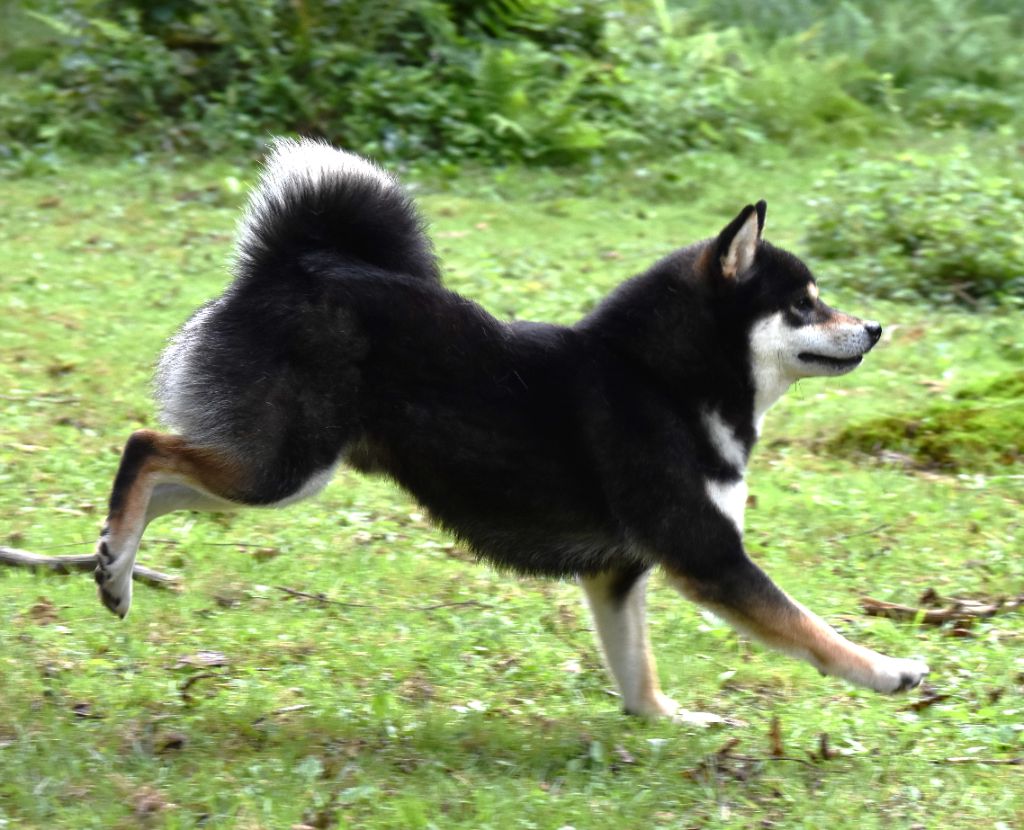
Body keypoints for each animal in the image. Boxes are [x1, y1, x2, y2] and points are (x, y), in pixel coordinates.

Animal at [94, 139, 929, 716]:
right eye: (804, 304)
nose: (876, 327)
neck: (663, 382)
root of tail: (291, 265)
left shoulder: (619, 573)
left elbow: (637, 671)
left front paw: (664, 719)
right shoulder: (710, 559)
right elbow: (811, 630)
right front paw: (889, 671)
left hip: (281, 473)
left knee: (165, 478)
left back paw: (114, 566)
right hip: (285, 467)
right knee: (147, 447)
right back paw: (118, 554)